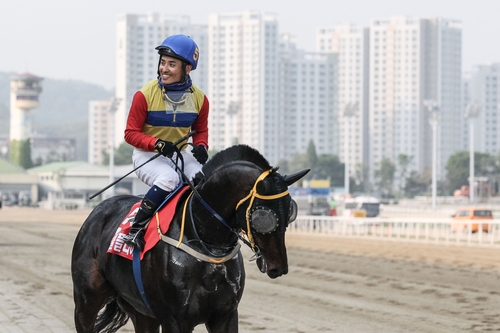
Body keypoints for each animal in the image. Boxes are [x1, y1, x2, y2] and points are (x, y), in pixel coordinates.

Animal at [71, 145, 308, 332]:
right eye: (263, 216)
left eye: (289, 210)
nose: (278, 266)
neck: (202, 239)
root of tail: (98, 210)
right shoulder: (175, 319)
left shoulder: (225, 315)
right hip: (86, 301)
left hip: (141, 312)